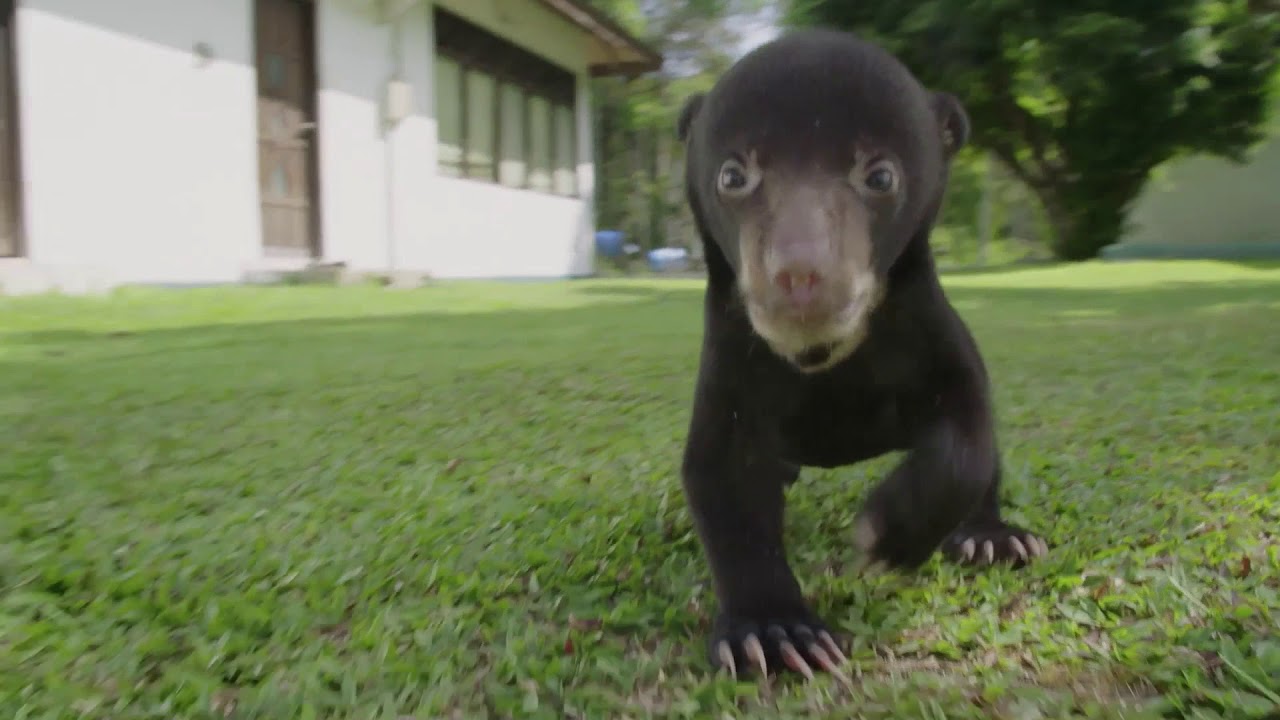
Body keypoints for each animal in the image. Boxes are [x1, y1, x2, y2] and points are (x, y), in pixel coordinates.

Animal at [673, 28, 1049, 680]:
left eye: (880, 177)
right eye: (732, 175)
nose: (800, 275)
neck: (823, 358)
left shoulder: (929, 334)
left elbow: (969, 438)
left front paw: (882, 537)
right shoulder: (733, 360)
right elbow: (724, 475)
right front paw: (777, 634)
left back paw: (992, 538)